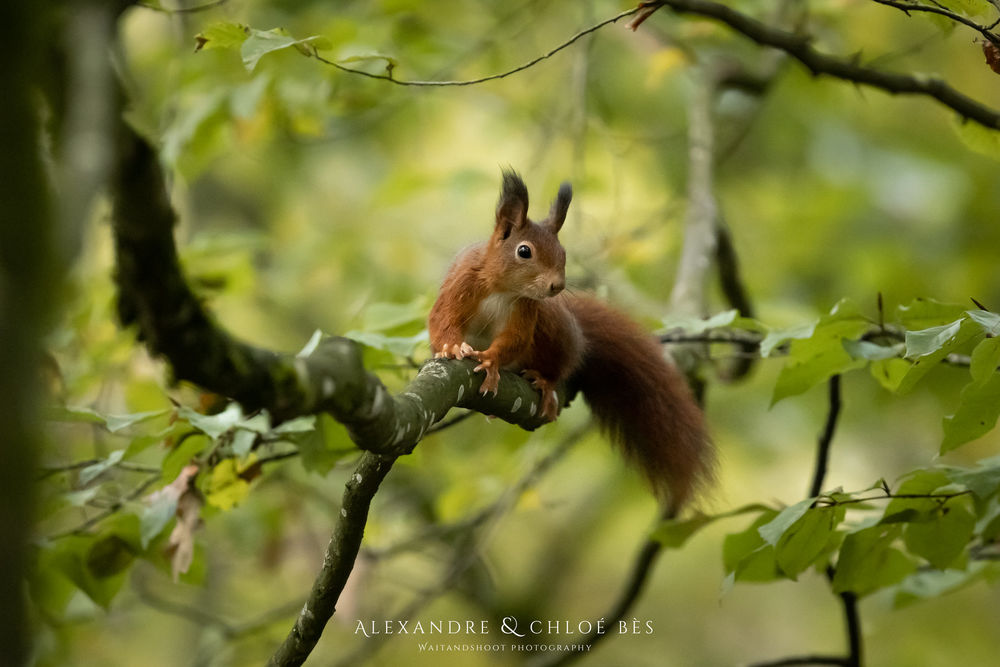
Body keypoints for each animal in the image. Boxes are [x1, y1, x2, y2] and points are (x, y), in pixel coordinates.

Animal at [428, 170, 714, 513]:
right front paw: (451, 347)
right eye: (524, 251)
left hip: (554, 329)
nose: (558, 285)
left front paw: (492, 360)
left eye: (563, 254)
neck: (504, 288)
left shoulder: (527, 310)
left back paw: (545, 382)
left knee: (560, 364)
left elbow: (515, 340)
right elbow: (442, 320)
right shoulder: (462, 284)